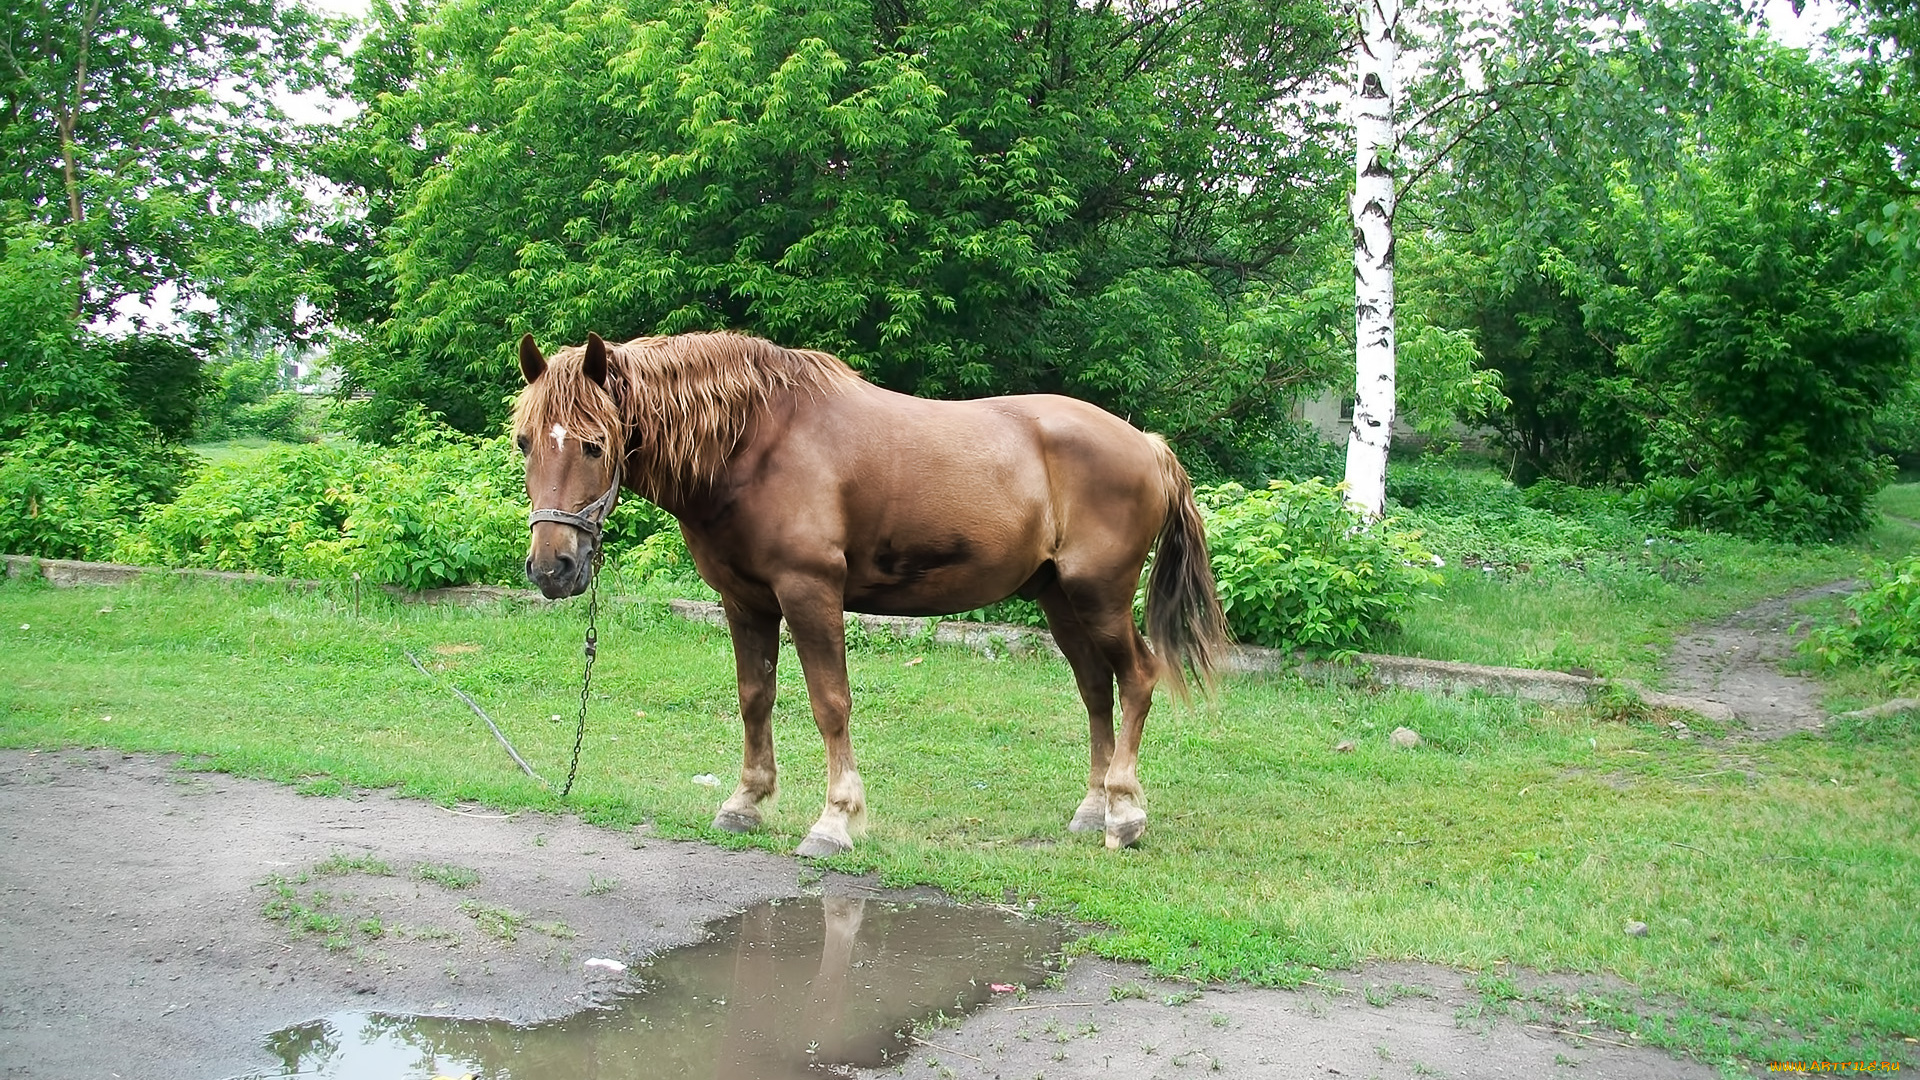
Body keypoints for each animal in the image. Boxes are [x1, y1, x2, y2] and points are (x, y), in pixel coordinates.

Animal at [514, 332, 1228, 853]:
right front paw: (745, 803)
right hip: (1059, 601)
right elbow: (754, 698)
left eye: (594, 444)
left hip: (1099, 595)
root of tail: (1147, 444)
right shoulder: (745, 602)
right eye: (524, 442)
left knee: (1138, 677)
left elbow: (830, 704)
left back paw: (1125, 814)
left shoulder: (810, 594)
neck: (754, 445)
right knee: (1095, 691)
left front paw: (835, 820)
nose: (553, 568)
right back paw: (1092, 808)